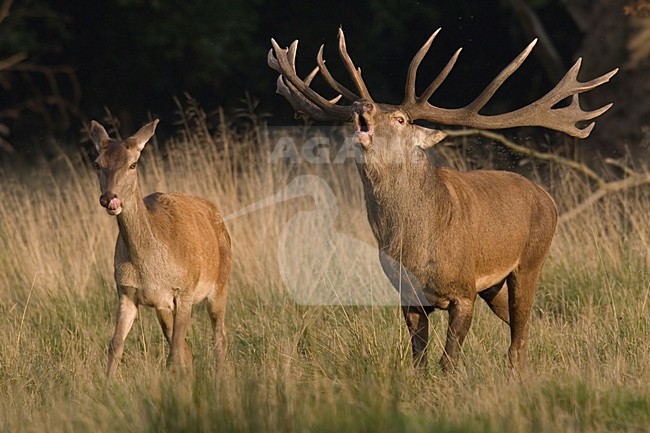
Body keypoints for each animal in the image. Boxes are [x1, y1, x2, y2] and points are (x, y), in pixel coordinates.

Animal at [90, 119, 232, 378]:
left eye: (133, 164)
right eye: (97, 163)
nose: (109, 198)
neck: (149, 267)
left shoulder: (184, 290)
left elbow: (174, 352)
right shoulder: (126, 291)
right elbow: (115, 345)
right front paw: (108, 382)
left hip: (220, 283)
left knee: (219, 337)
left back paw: (218, 378)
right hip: (163, 307)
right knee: (187, 349)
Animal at [268, 28, 617, 373]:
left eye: (400, 120)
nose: (361, 105)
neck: (417, 246)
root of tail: (547, 197)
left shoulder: (463, 292)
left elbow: (448, 361)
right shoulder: (408, 296)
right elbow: (419, 360)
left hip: (531, 260)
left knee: (519, 334)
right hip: (493, 286)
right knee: (521, 327)